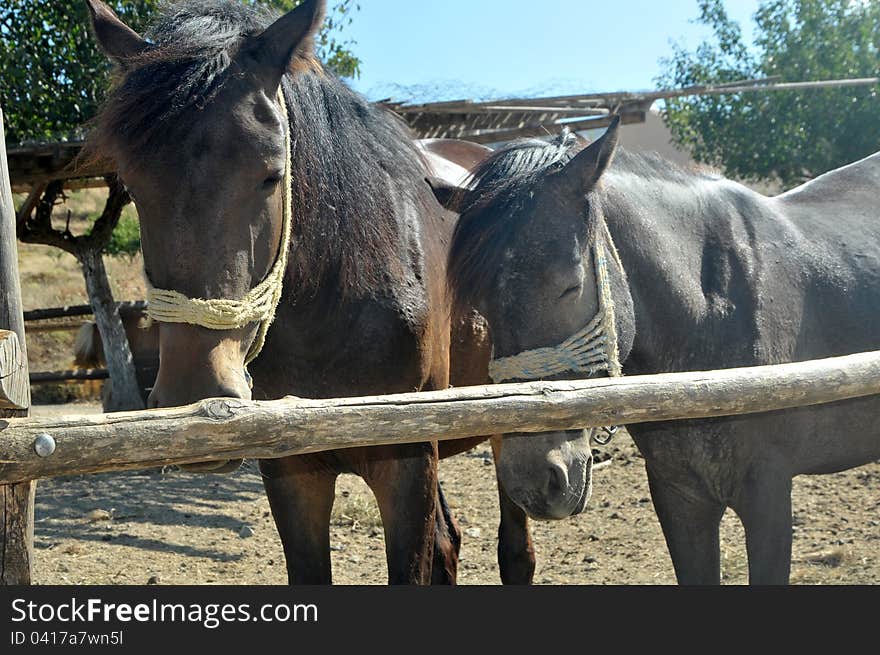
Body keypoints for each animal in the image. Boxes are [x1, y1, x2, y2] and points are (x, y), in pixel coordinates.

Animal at [84, 0, 536, 584]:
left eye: (271, 174)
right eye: (133, 185)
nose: (194, 389)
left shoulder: (408, 465)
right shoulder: (292, 473)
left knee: (513, 550)